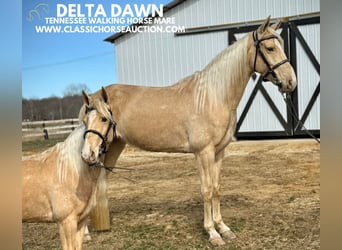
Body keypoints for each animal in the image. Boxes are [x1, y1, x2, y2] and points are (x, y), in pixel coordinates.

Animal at [23, 88, 116, 250]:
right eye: (85, 121)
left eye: (104, 119)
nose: (87, 155)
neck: (69, 171)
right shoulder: (66, 223)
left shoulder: (81, 222)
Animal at [93, 16, 296, 246]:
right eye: (270, 48)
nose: (291, 82)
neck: (213, 97)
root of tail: (93, 97)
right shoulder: (203, 153)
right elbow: (206, 190)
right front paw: (212, 233)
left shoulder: (219, 152)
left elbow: (216, 189)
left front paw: (224, 228)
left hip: (114, 146)